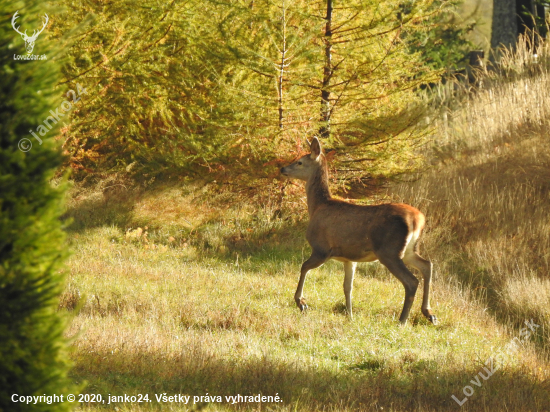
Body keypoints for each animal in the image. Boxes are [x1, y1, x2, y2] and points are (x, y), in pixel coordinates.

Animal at [282, 138, 438, 326]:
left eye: (299, 162)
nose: (283, 169)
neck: (317, 207)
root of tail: (418, 219)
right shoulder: (349, 258)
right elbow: (347, 286)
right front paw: (350, 315)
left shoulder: (322, 248)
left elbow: (304, 267)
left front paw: (301, 302)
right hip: (409, 250)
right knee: (427, 265)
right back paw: (429, 313)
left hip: (389, 251)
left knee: (412, 281)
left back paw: (402, 320)